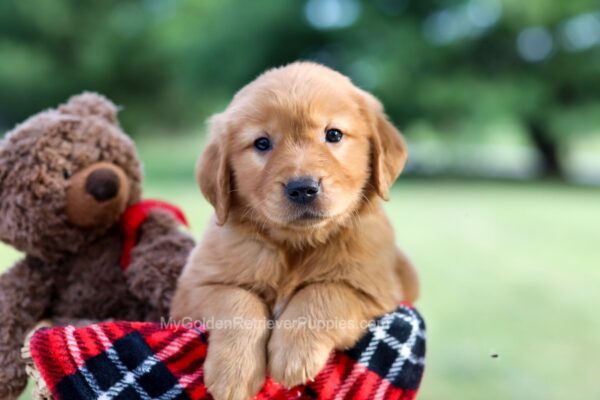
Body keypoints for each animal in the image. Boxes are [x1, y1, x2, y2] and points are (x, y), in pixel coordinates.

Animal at [171, 61, 420, 398]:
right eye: (262, 143)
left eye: (334, 134)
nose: (303, 188)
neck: (295, 245)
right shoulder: (193, 288)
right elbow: (237, 300)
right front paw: (234, 373)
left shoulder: (373, 288)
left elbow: (324, 292)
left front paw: (293, 354)